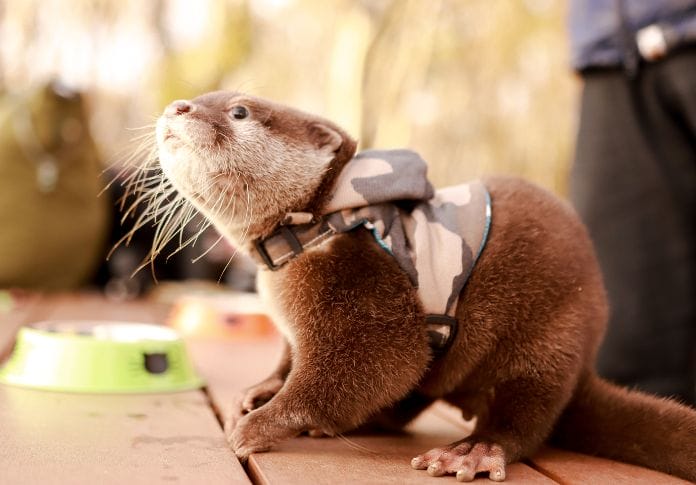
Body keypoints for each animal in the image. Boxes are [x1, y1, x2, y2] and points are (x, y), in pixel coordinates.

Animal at [149, 91, 696, 482]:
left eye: (238, 110)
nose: (177, 106)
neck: (316, 231)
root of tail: (585, 363)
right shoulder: (295, 324)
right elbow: (291, 356)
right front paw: (260, 389)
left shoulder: (365, 281)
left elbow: (375, 365)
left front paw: (258, 425)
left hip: (552, 334)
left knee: (525, 417)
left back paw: (473, 451)